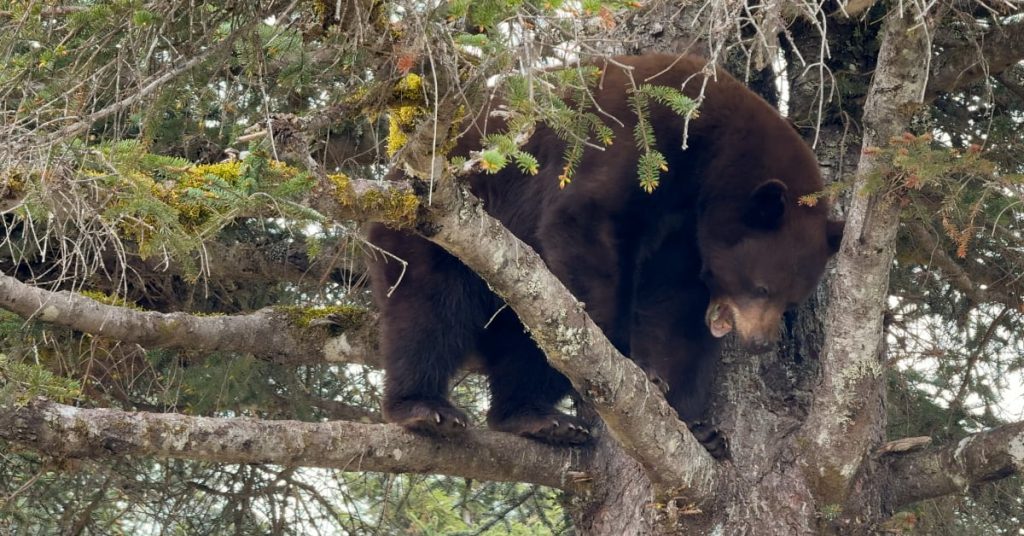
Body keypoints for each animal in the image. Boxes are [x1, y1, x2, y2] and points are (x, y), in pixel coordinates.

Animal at [367, 54, 844, 449]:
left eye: (791, 300)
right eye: (762, 288)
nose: (760, 343)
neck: (708, 157)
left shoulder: (687, 234)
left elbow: (675, 308)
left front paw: (697, 425)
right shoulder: (634, 137)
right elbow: (584, 223)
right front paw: (633, 362)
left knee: (529, 338)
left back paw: (538, 417)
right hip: (433, 228)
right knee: (432, 310)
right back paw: (425, 407)